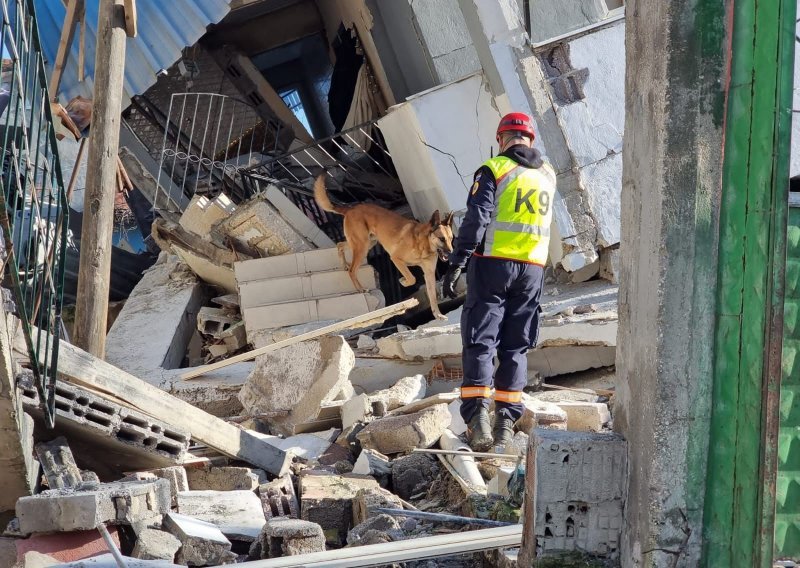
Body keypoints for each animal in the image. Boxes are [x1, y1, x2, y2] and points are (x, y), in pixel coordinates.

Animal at [312, 175, 454, 320]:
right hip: (362, 247)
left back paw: (344, 264)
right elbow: (411, 278)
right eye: (442, 239)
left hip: (368, 243)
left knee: (340, 245)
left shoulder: (429, 274)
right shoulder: (396, 259)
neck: (423, 243)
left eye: (451, 238)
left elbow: (432, 296)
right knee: (352, 270)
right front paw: (403, 281)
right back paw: (360, 288)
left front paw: (438, 314)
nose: (452, 252)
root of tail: (351, 209)